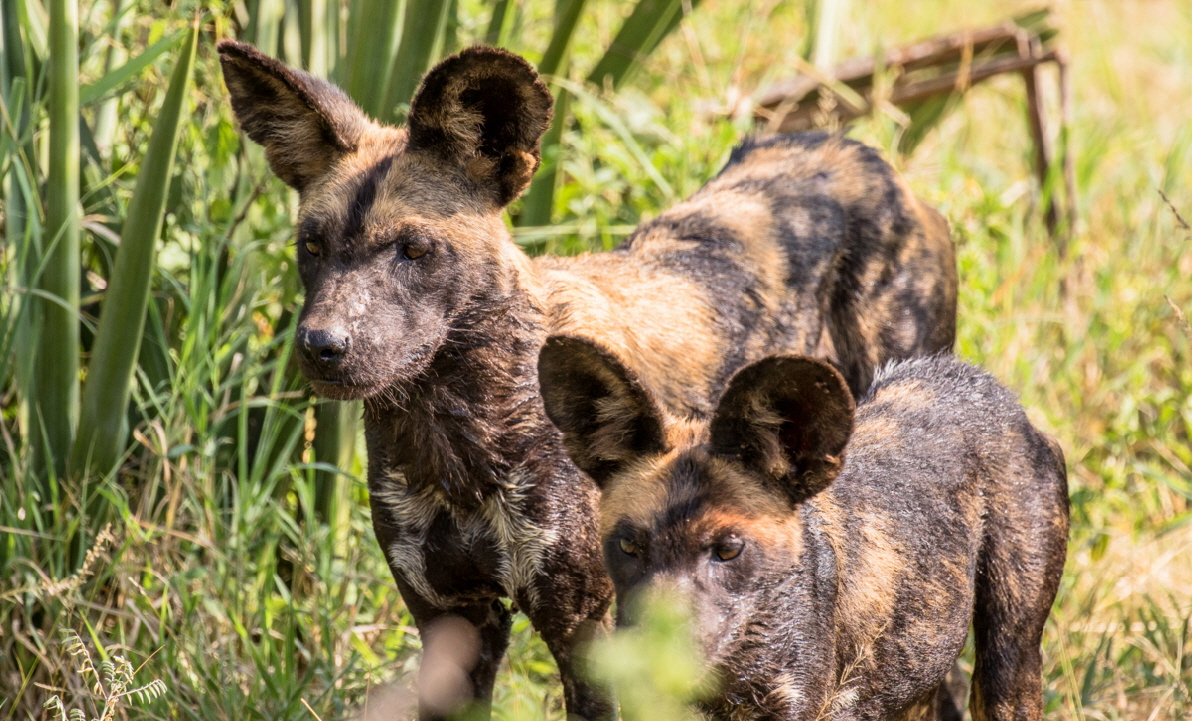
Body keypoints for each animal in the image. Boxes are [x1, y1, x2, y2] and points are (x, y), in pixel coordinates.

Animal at [216, 40, 958, 719]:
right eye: (311, 246)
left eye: (414, 249)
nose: (322, 346)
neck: (456, 439)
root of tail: (861, 156)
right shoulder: (450, 622)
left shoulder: (589, 632)